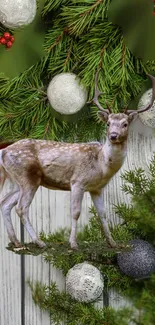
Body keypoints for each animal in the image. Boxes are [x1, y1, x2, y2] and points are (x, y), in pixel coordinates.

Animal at [0, 69, 154, 249]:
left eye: (125, 124)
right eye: (108, 123)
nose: (113, 135)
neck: (101, 164)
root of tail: (4, 152)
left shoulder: (97, 188)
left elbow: (103, 214)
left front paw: (112, 242)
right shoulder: (77, 182)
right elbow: (75, 213)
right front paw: (73, 244)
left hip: (17, 180)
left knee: (5, 204)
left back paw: (16, 241)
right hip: (27, 176)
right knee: (21, 208)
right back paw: (39, 242)